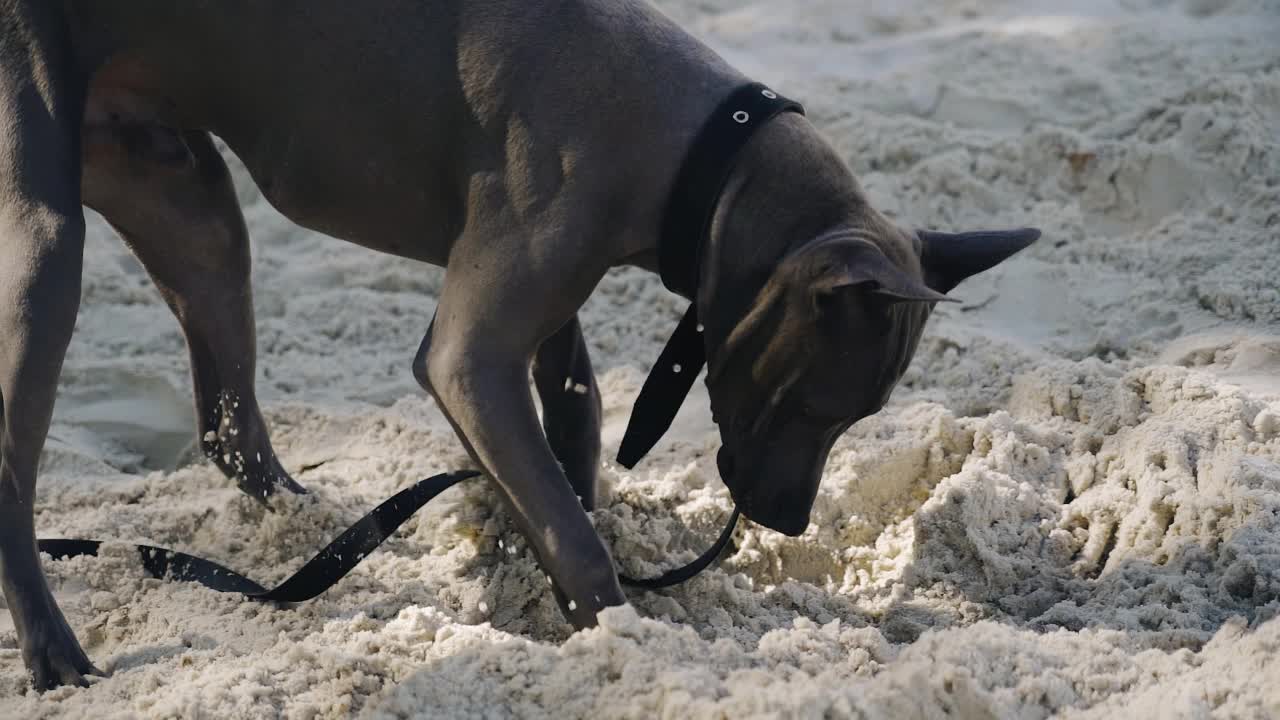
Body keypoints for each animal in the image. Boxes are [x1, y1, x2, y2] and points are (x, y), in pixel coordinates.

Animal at [0, 0, 1039, 686]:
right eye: (822, 405)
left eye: (860, 417)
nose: (785, 523)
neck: (705, 154)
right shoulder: (470, 353)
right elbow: (571, 532)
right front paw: (629, 642)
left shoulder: (540, 318)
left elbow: (570, 438)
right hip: (48, 246)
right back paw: (56, 654)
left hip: (193, 206)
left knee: (227, 429)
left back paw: (316, 531)